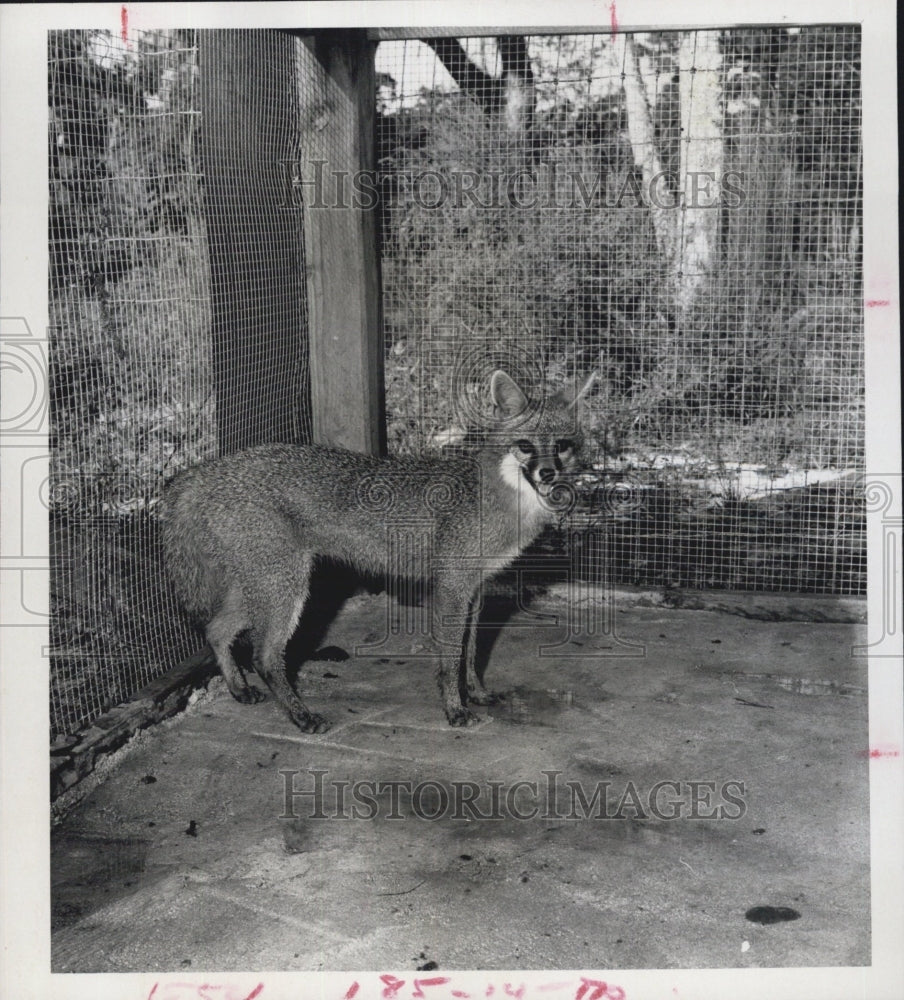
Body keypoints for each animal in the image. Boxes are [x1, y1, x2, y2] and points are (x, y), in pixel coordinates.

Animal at [160, 369, 596, 733]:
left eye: (562, 446)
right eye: (525, 446)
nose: (548, 473)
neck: (493, 496)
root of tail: (209, 471)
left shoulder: (475, 590)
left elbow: (470, 652)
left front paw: (476, 693)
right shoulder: (452, 588)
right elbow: (450, 657)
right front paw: (454, 710)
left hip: (260, 587)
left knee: (216, 629)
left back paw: (239, 689)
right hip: (285, 588)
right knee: (264, 656)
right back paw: (301, 716)